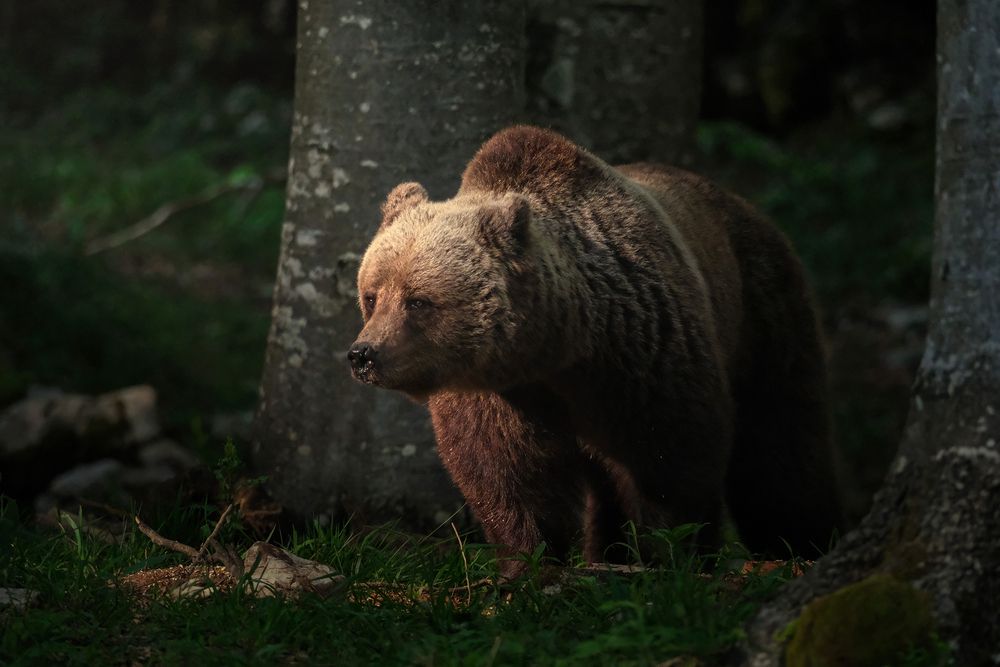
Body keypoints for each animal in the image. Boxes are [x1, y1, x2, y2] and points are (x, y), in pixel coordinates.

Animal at [349, 126, 843, 577]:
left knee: (781, 444)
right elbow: (507, 476)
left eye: (418, 300)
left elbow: (673, 460)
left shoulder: (644, 358)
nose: (364, 354)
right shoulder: (496, 393)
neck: (558, 351)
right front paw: (527, 561)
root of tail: (748, 207)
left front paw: (674, 553)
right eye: (372, 295)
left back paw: (797, 545)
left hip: (762, 314)